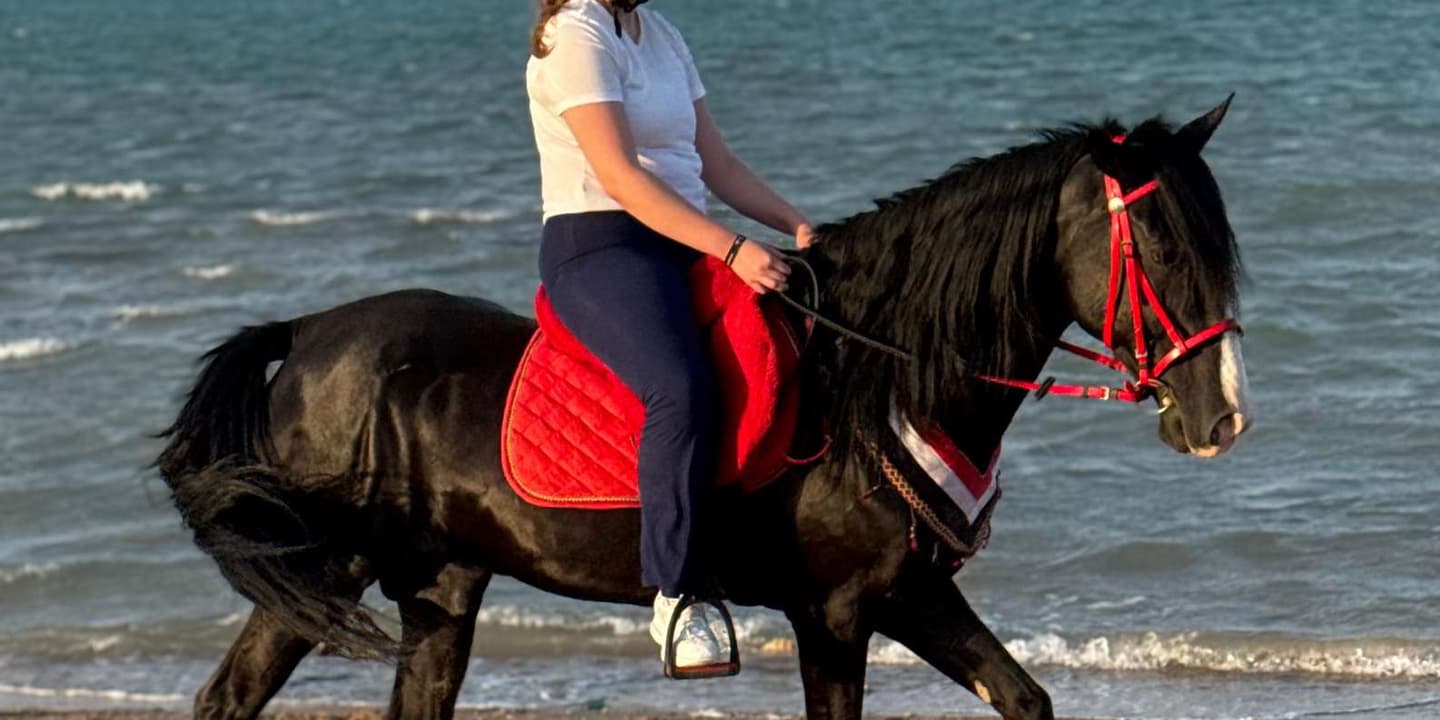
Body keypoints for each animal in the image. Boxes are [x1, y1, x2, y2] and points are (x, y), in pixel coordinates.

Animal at [156, 98, 1249, 720]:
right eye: (1160, 245)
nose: (1221, 418)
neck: (874, 381)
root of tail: (307, 330)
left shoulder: (912, 594)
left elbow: (1026, 699)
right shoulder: (837, 612)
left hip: (439, 590)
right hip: (325, 572)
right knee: (226, 698)